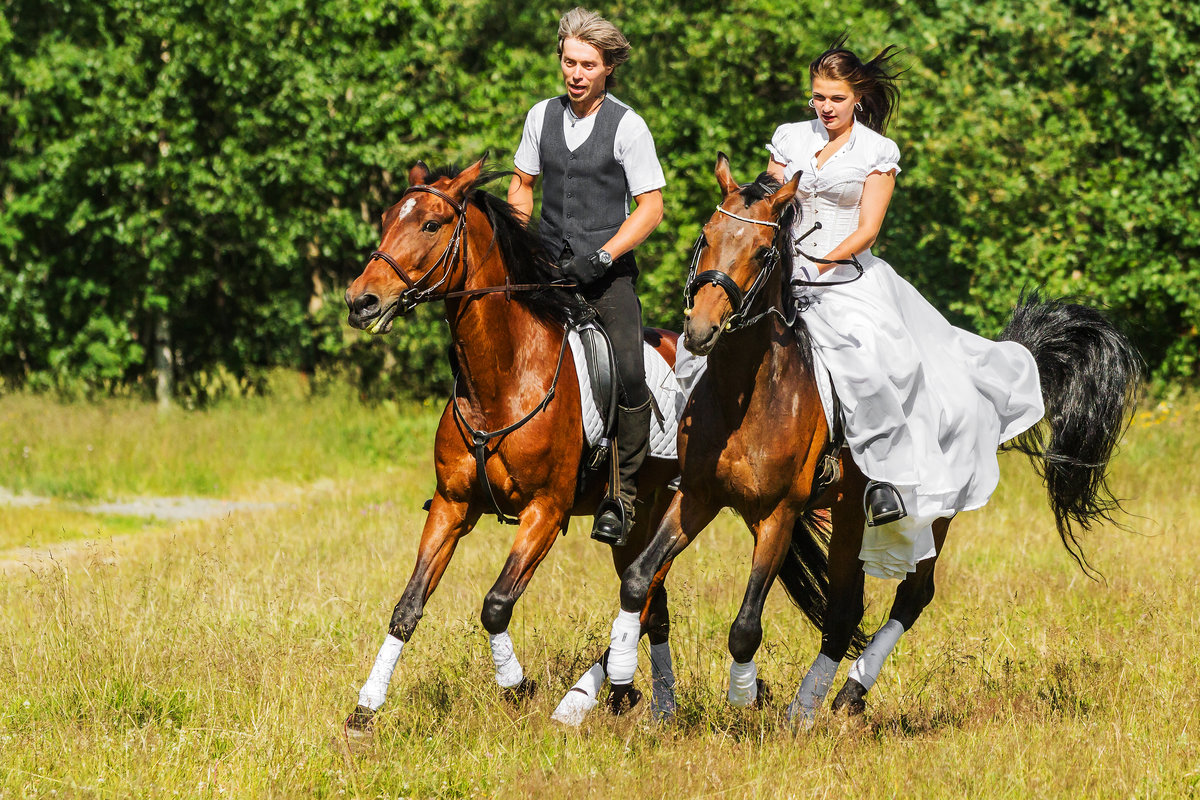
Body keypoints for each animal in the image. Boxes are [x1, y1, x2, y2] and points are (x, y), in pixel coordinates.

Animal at [345, 159, 686, 734]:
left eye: (431, 224)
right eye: (390, 218)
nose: (360, 301)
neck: (501, 378)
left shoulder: (545, 512)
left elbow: (496, 603)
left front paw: (517, 684)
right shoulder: (452, 505)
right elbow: (408, 606)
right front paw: (366, 706)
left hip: (664, 510)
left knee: (644, 592)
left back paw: (585, 699)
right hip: (636, 528)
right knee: (649, 601)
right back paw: (641, 699)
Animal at [600, 153, 1142, 724]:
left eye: (764, 251)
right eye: (706, 236)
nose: (701, 330)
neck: (744, 395)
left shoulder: (779, 515)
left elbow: (745, 626)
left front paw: (744, 701)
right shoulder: (697, 496)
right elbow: (639, 579)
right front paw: (620, 683)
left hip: (932, 512)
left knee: (912, 596)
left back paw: (844, 696)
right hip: (848, 512)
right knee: (844, 608)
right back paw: (810, 707)